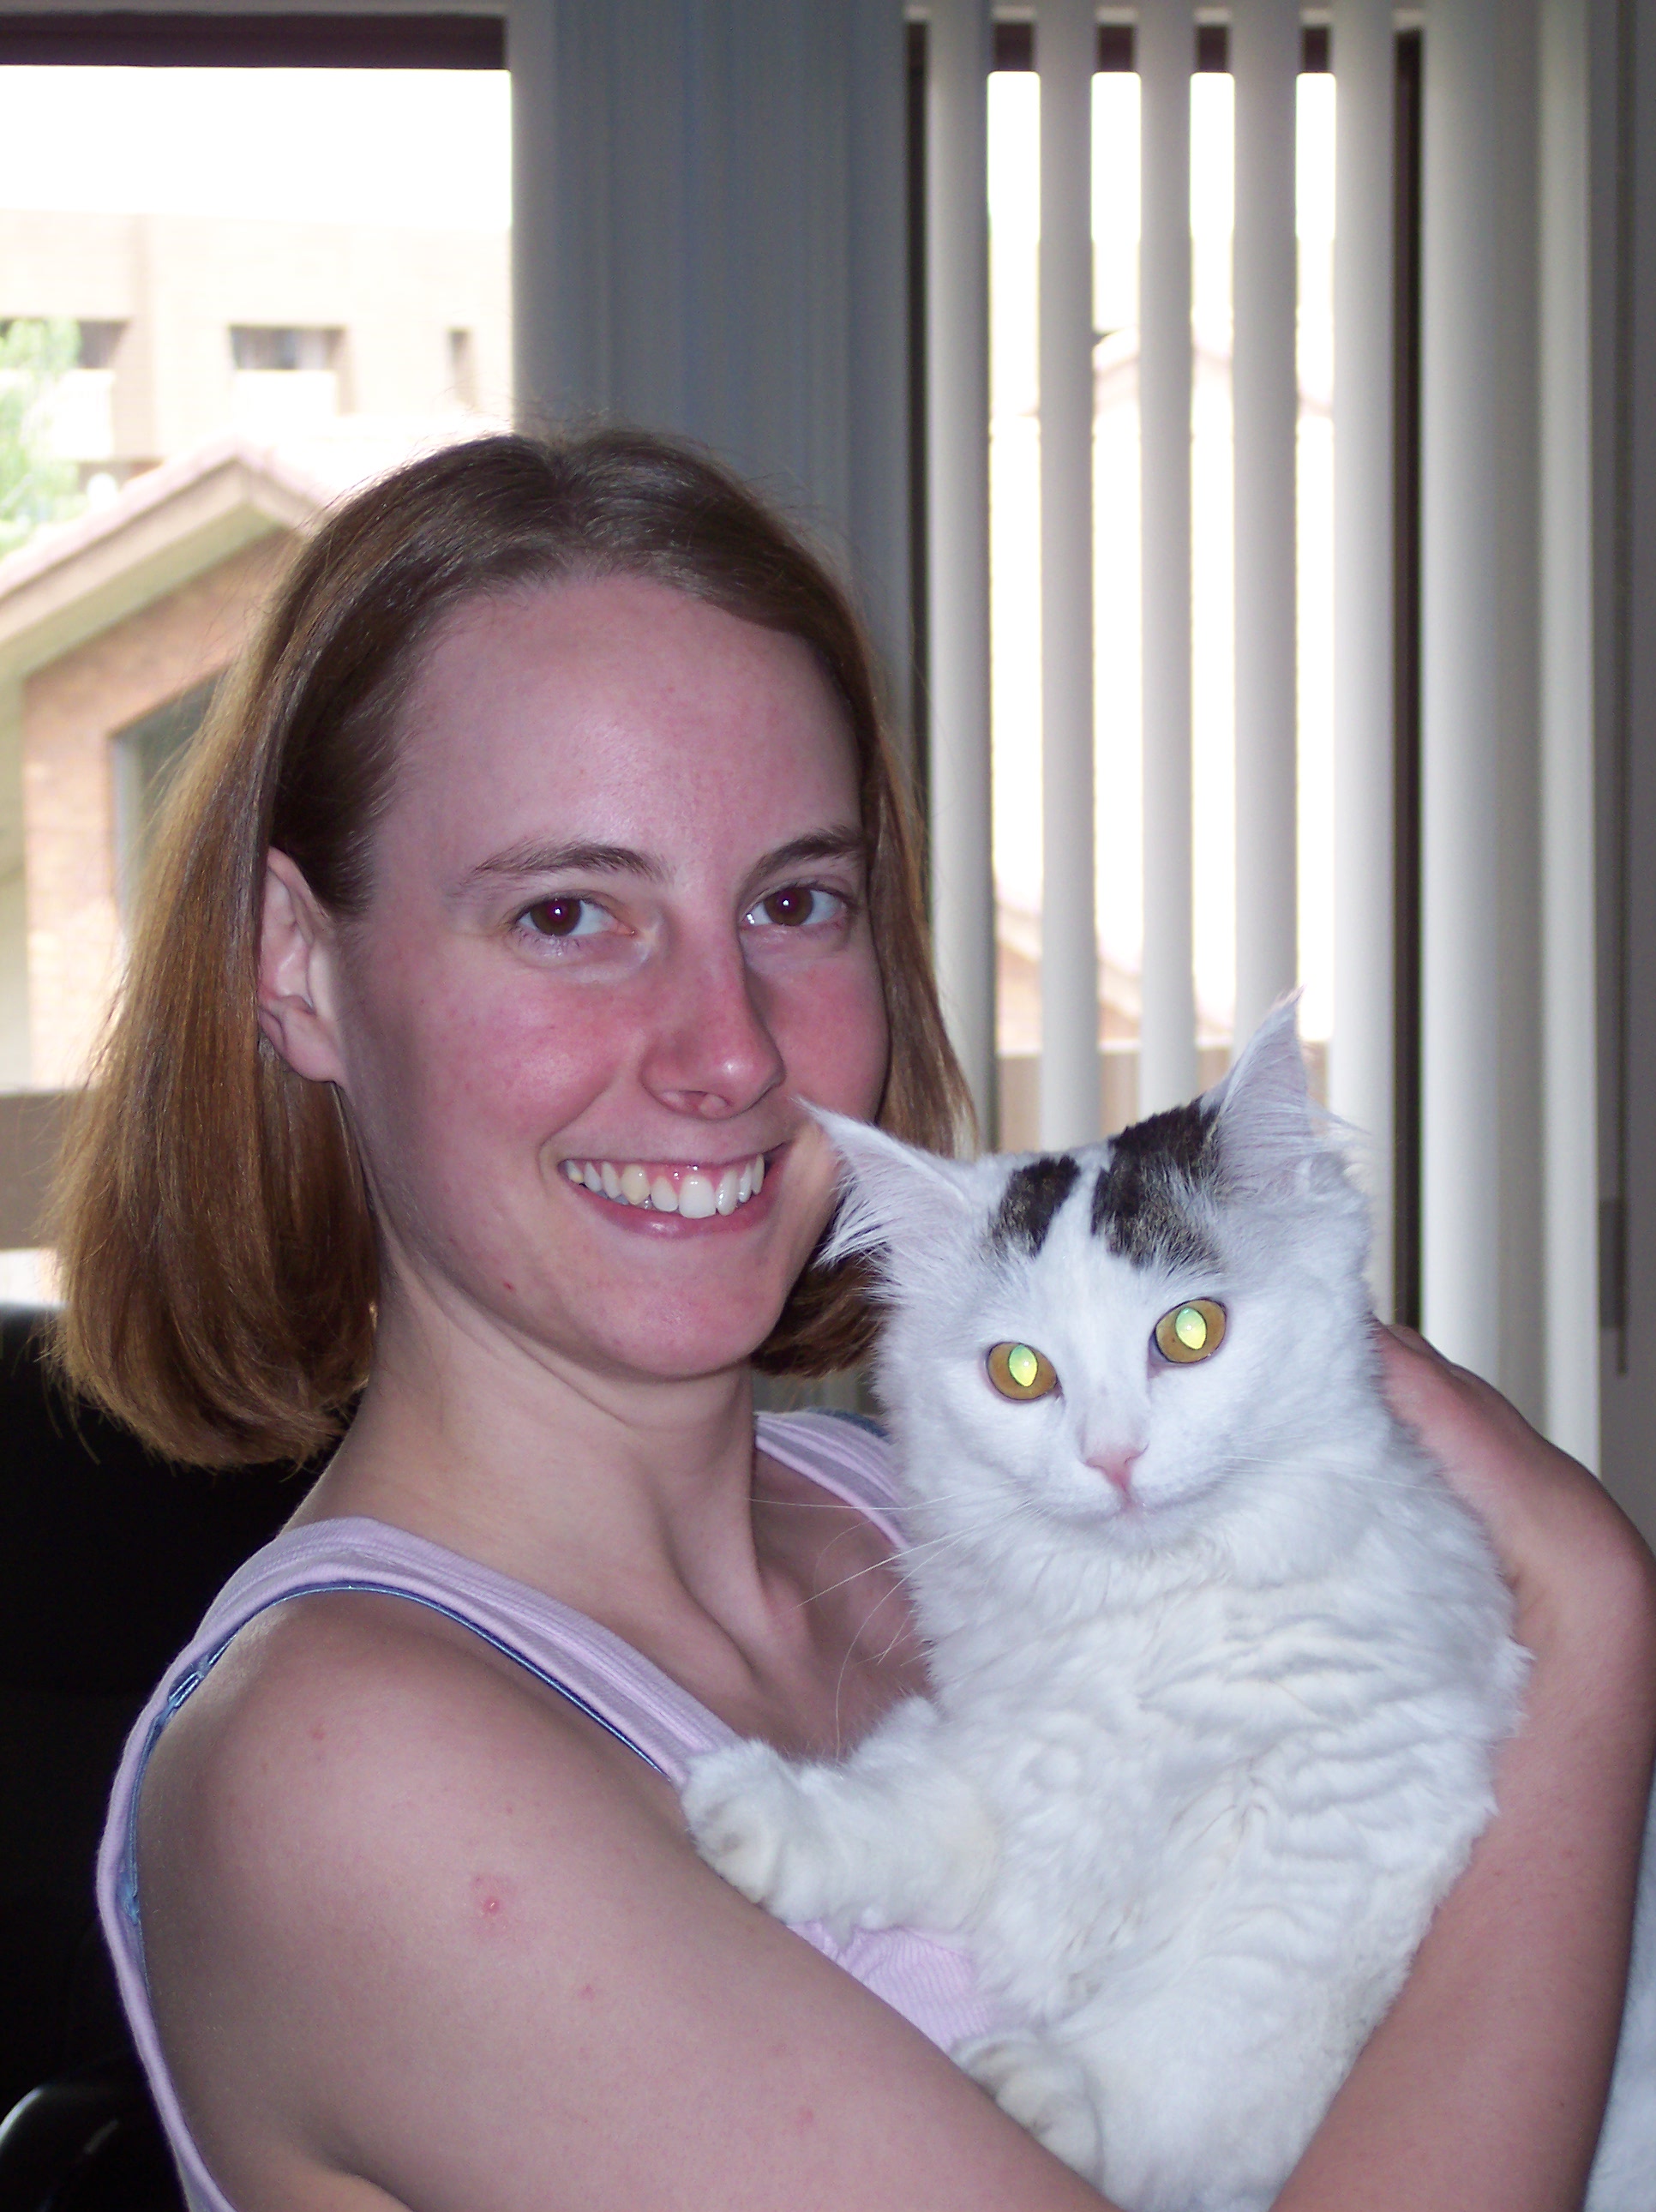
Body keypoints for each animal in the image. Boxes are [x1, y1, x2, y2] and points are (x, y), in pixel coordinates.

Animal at [682, 1003, 1655, 2212]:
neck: (1147, 1623)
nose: (1114, 1458)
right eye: (1019, 1373)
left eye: (1190, 1334)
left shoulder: (1350, 1824)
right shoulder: (1022, 1760)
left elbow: (1215, 2009)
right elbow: (915, 1805)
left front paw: (1067, 2091)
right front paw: (772, 1817)